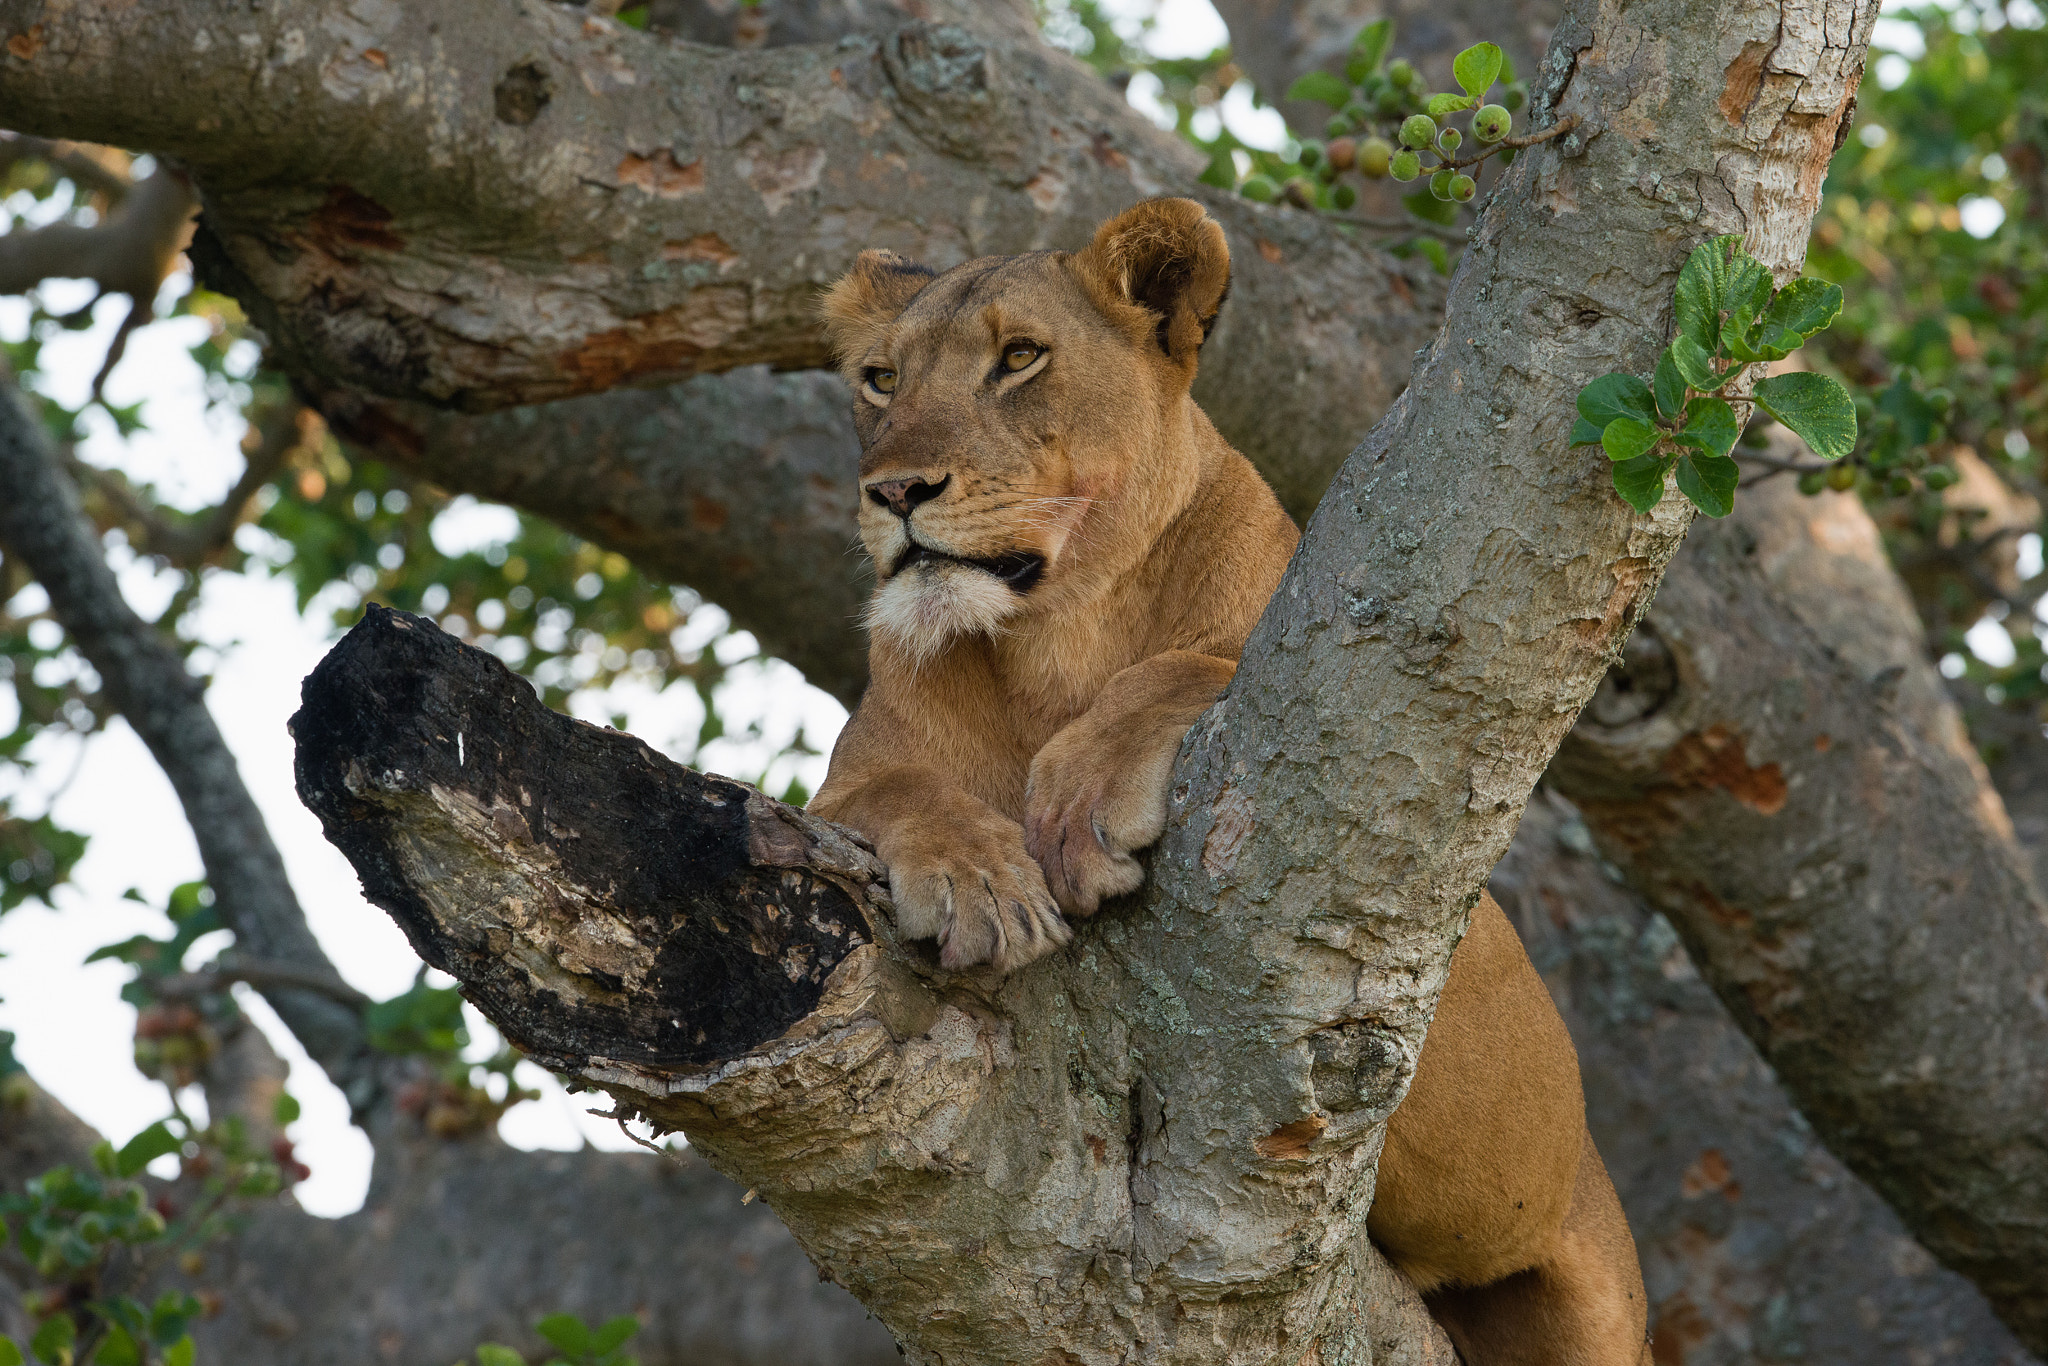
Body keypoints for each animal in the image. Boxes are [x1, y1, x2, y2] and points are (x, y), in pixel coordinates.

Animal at [810, 197, 1652, 1364]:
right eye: (882, 379)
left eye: (1019, 358)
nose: (894, 491)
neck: (1047, 640)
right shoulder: (844, 785)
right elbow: (903, 795)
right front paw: (983, 884)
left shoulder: (1324, 669)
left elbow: (1189, 666)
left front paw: (1075, 807)